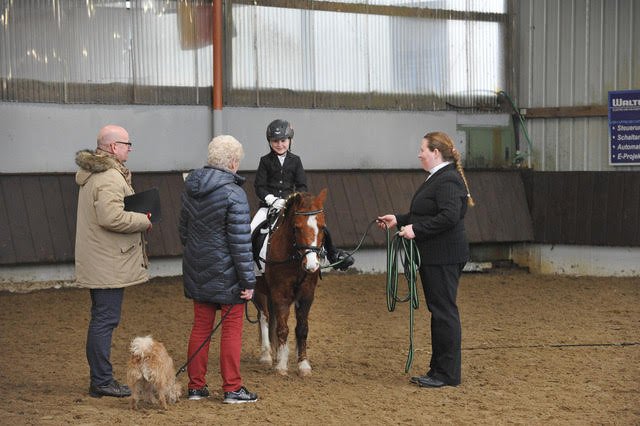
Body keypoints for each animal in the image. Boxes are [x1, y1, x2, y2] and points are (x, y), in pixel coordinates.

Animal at [252, 189, 327, 377]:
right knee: (264, 317)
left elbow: (301, 329)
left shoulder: (307, 295)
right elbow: (282, 328)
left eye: (322, 227)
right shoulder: (281, 294)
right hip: (258, 292)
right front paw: (281, 366)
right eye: (296, 227)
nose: (312, 265)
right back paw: (267, 355)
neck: (295, 258)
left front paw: (303, 365)